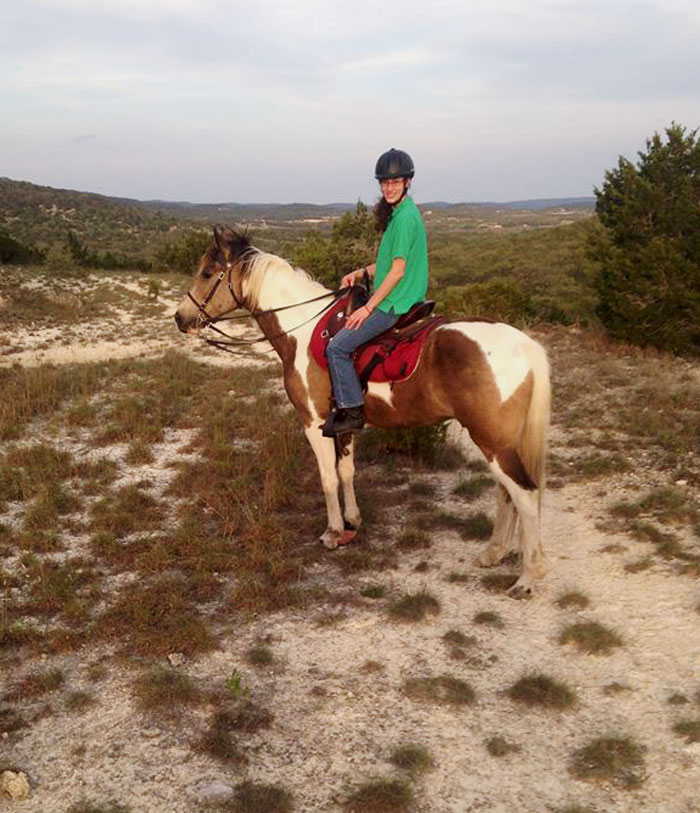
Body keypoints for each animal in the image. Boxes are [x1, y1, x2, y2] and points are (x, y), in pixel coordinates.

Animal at [175, 225, 552, 592]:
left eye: (207, 273)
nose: (181, 318)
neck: (304, 330)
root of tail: (525, 344)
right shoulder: (343, 425)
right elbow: (346, 472)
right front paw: (352, 523)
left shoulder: (313, 423)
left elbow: (327, 477)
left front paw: (332, 532)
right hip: (499, 442)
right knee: (506, 492)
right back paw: (493, 552)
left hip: (492, 441)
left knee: (524, 494)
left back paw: (526, 578)